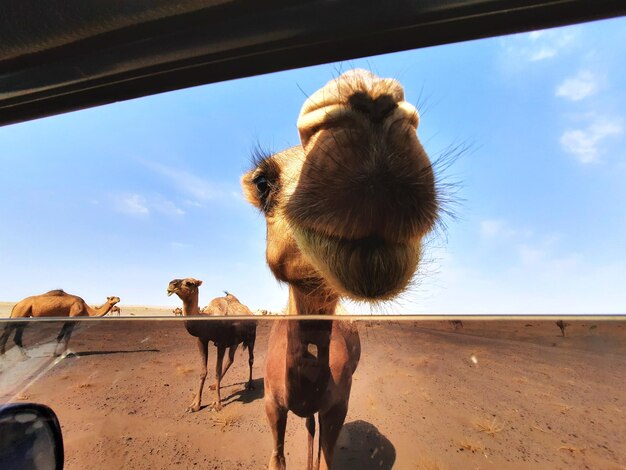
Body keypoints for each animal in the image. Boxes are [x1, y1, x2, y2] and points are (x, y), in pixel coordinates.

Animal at [166, 280, 256, 412]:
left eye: (189, 283)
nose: (171, 284)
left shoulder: (222, 342)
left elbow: (217, 371)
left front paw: (216, 404)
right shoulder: (202, 340)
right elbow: (203, 371)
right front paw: (195, 404)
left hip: (251, 336)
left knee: (250, 359)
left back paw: (250, 385)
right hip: (234, 341)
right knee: (230, 359)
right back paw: (214, 385)